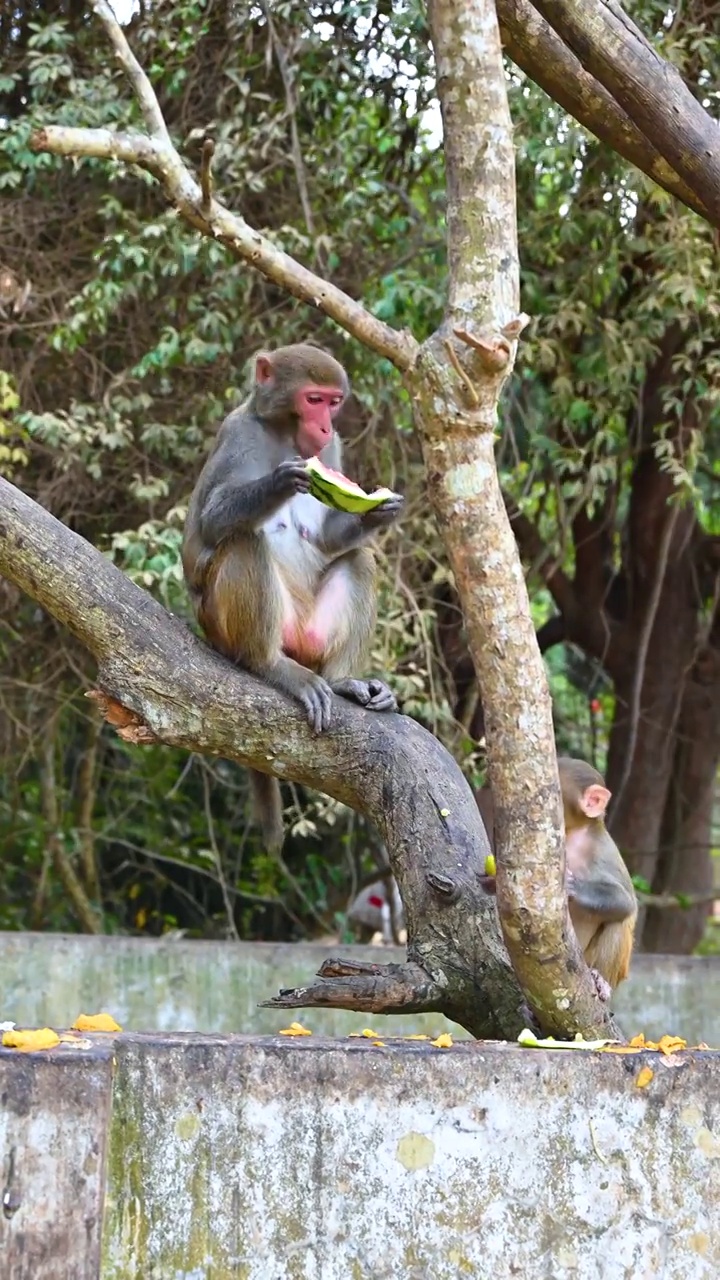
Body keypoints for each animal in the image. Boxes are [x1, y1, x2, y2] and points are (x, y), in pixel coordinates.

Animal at [180, 345, 404, 855]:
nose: (322, 428)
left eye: (334, 403)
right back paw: (271, 666)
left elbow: (328, 541)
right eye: (313, 399)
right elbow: (210, 525)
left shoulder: (334, 448)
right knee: (242, 541)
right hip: (221, 624)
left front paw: (378, 510)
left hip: (311, 632)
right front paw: (281, 483)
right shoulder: (237, 433)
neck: (284, 434)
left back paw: (344, 681)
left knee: (359, 559)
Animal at [476, 752, 632, 993]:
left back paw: (602, 981)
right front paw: (494, 880)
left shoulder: (603, 850)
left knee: (619, 920)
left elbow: (627, 900)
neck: (574, 833)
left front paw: (572, 887)